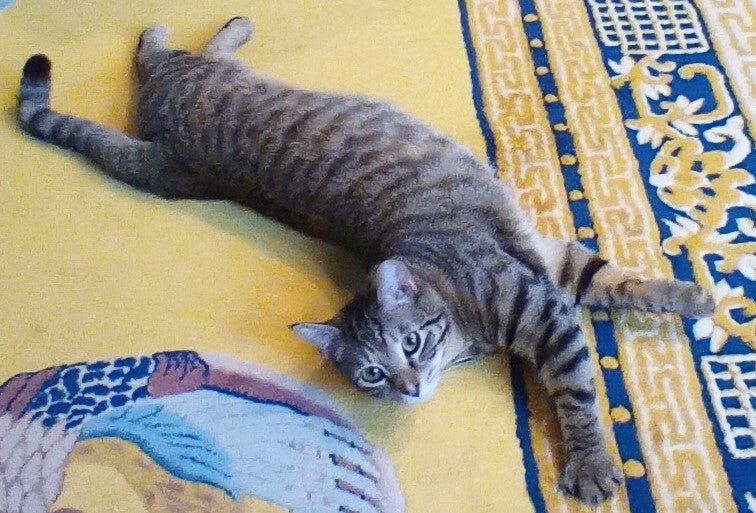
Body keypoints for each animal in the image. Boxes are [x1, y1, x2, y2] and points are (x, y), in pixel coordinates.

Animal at [17, 17, 716, 504]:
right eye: (373, 375)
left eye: (411, 344)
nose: (409, 388)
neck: (467, 320)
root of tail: (174, 162)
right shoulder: (548, 301)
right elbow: (581, 376)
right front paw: (595, 460)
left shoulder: (545, 282)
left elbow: (612, 300)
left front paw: (691, 297)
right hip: (186, 93)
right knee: (163, 55)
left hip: (195, 86)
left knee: (165, 54)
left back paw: (212, 27)